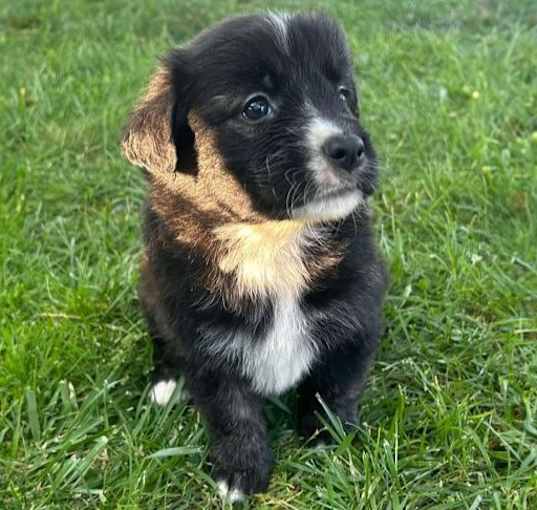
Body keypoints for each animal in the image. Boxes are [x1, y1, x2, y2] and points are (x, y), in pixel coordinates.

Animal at [122, 10, 386, 502]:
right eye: (256, 107)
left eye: (343, 95)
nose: (350, 148)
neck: (270, 238)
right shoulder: (200, 335)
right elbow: (231, 410)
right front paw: (240, 473)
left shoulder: (358, 308)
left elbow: (336, 382)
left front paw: (327, 438)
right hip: (149, 290)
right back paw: (166, 384)